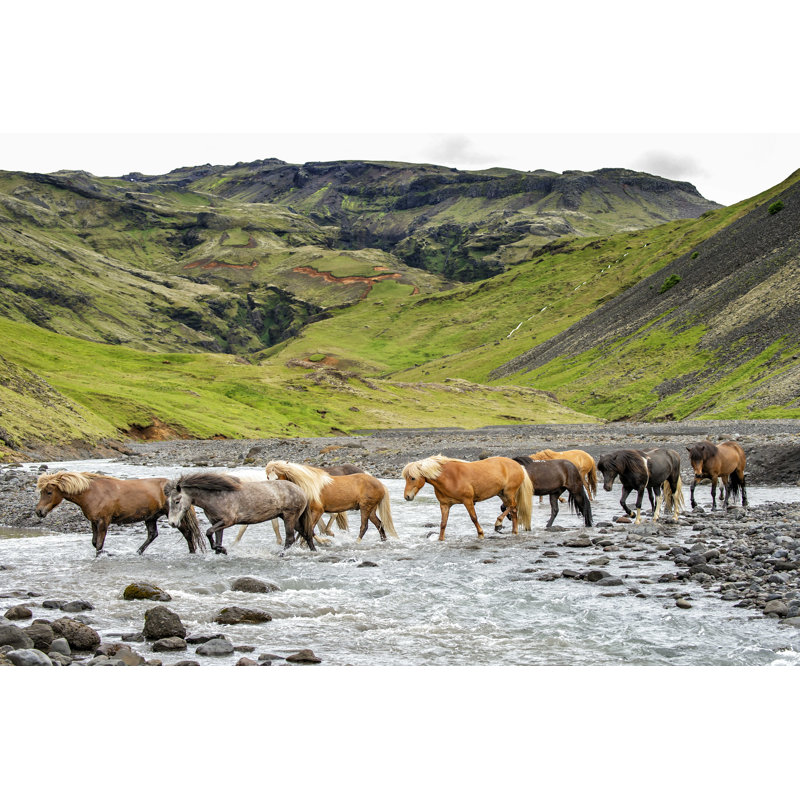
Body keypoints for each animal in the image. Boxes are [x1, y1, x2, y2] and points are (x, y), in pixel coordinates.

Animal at [34, 471, 205, 556]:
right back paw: (137, 552)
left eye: (49, 492)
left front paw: (101, 555)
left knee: (188, 534)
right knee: (152, 535)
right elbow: (95, 542)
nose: (39, 512)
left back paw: (192, 553)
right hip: (150, 517)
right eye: (41, 492)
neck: (92, 493)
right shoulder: (94, 522)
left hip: (175, 517)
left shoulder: (103, 521)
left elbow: (99, 544)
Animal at [165, 471, 315, 553]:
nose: (172, 523)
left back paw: (281, 554)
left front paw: (222, 549)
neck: (216, 496)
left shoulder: (228, 521)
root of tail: (301, 491)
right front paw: (220, 550)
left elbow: (208, 532)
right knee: (306, 534)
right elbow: (216, 537)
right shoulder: (217, 523)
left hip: (290, 517)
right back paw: (314, 551)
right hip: (291, 518)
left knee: (290, 538)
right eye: (168, 501)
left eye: (177, 501)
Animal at [262, 460, 397, 541]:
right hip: (371, 510)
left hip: (365, 507)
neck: (309, 486)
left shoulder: (318, 511)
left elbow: (310, 529)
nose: (272, 493)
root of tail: (380, 483)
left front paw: (324, 541)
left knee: (364, 527)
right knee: (379, 524)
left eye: (278, 477)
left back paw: (356, 543)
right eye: (268, 477)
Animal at [402, 455, 533, 541]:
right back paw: (514, 531)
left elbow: (473, 518)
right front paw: (440, 539)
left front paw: (481, 534)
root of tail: (519, 466)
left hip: (508, 492)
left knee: (513, 506)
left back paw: (498, 523)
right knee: (513, 510)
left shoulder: (467, 501)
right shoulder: (444, 505)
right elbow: (443, 523)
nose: (407, 496)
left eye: (413, 478)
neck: (449, 477)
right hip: (502, 494)